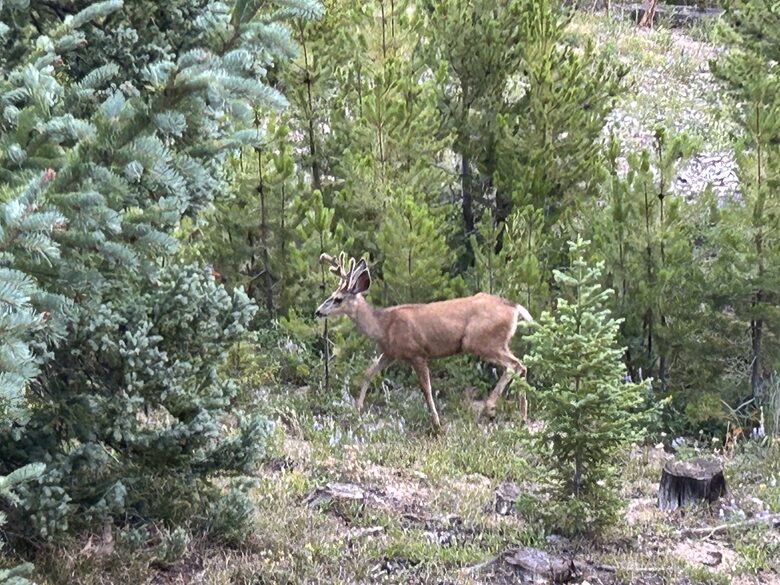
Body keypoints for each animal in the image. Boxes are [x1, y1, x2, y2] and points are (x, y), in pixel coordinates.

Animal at [314, 252, 534, 430]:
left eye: (338, 299)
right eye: (331, 295)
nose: (318, 311)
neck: (383, 326)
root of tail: (514, 307)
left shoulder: (417, 352)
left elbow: (426, 388)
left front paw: (436, 423)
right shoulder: (390, 353)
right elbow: (368, 373)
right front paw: (357, 407)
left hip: (482, 341)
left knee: (516, 365)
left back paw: (490, 408)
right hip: (497, 343)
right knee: (520, 365)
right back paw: (521, 416)